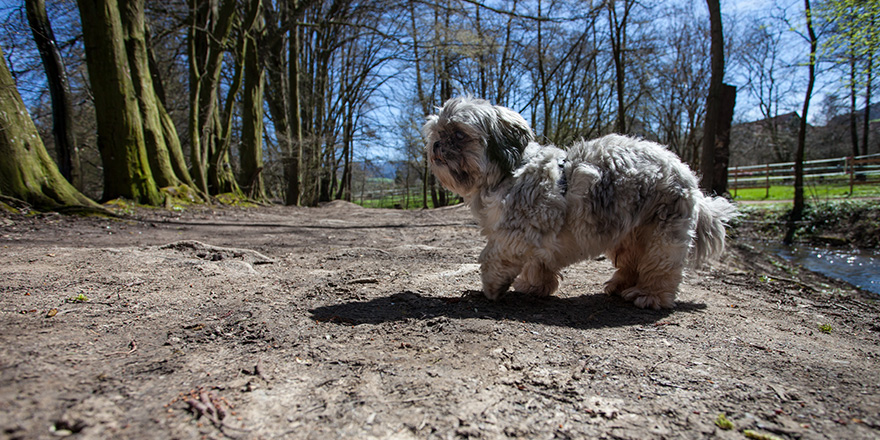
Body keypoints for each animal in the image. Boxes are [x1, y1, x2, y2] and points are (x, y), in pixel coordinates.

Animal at [422, 97, 740, 310]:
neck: (509, 171)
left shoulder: (514, 233)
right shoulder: (538, 232)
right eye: (436, 133)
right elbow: (538, 263)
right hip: (628, 232)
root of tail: (687, 175)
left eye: (458, 134)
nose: (437, 145)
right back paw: (619, 285)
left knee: (662, 268)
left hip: (661, 236)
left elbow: (491, 257)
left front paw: (490, 288)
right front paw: (535, 286)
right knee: (631, 262)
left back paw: (650, 295)